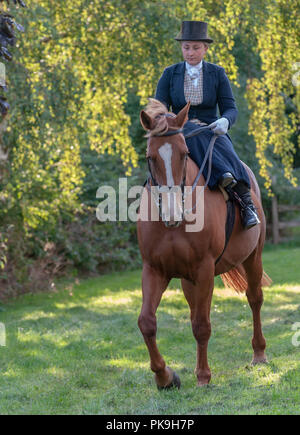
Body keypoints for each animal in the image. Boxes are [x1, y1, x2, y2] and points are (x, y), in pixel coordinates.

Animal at [137, 99, 272, 392]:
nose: (173, 214)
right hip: (188, 280)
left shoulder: (204, 269)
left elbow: (202, 325)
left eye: (185, 154)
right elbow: (147, 322)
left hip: (253, 257)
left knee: (254, 299)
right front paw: (165, 377)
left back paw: (259, 354)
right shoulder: (154, 269)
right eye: (150, 157)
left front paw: (203, 377)